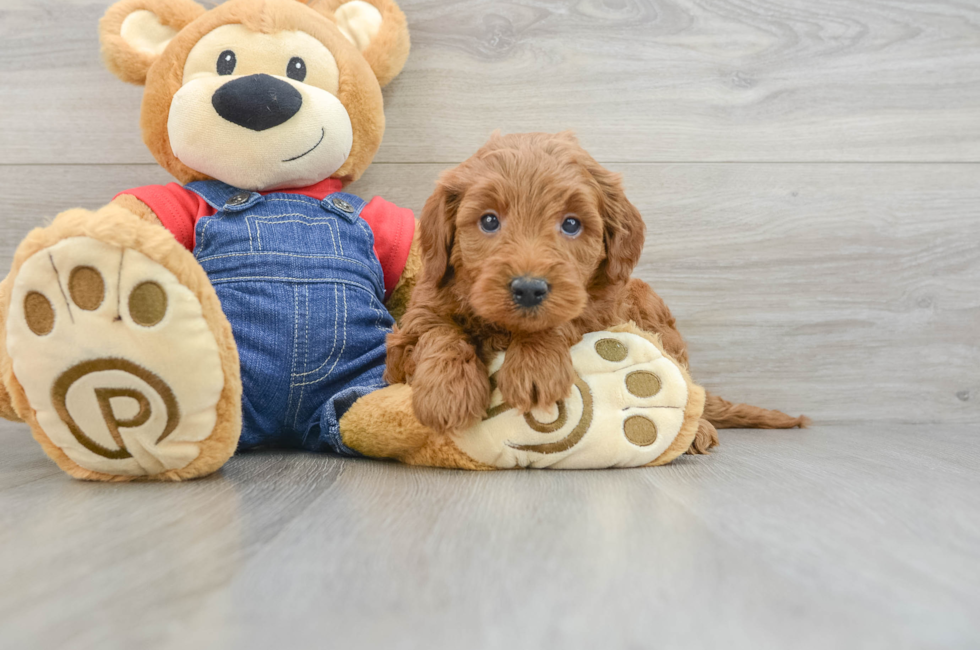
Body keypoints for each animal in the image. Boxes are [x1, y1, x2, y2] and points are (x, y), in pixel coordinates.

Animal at [382, 130, 804, 446]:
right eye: (488, 221)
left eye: (571, 224)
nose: (529, 289)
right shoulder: (411, 328)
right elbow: (438, 332)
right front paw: (446, 392)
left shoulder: (597, 311)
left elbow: (560, 322)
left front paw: (534, 366)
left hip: (650, 308)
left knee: (688, 388)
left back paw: (698, 430)